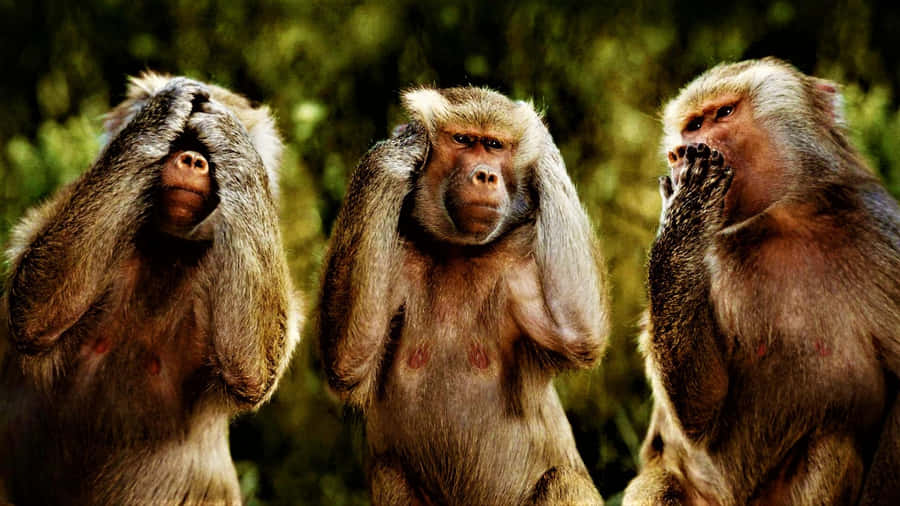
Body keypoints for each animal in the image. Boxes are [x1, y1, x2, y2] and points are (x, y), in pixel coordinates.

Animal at [0, 73, 301, 505]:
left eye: (205, 149)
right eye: (180, 140)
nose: (192, 159)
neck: (166, 247)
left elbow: (251, 368)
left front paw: (228, 131)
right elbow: (33, 311)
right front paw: (163, 108)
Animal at [318, 86, 610, 505]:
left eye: (494, 145)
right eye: (463, 140)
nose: (485, 175)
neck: (457, 251)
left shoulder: (518, 263)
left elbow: (578, 332)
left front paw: (543, 144)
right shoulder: (397, 255)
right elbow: (349, 360)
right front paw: (399, 148)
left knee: (563, 481)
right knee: (390, 474)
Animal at [623, 58, 900, 506]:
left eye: (722, 114)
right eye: (690, 126)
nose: (678, 152)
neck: (782, 223)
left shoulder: (879, 230)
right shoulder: (711, 255)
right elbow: (700, 416)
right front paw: (684, 212)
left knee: (833, 444)